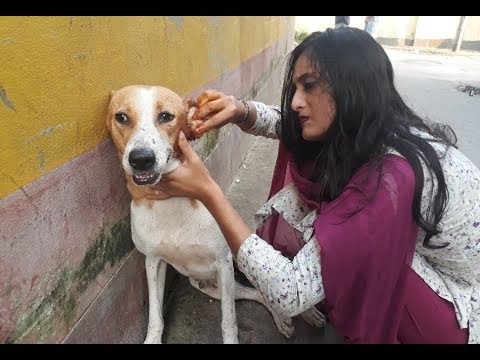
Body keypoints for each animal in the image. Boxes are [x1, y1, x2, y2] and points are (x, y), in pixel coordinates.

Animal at [107, 84, 326, 344]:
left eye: (166, 116)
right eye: (121, 117)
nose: (141, 159)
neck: (169, 200)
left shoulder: (223, 262)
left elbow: (228, 321)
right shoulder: (153, 261)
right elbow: (155, 316)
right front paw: (152, 338)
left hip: (239, 259)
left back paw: (306, 314)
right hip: (210, 285)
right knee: (257, 294)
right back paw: (284, 319)